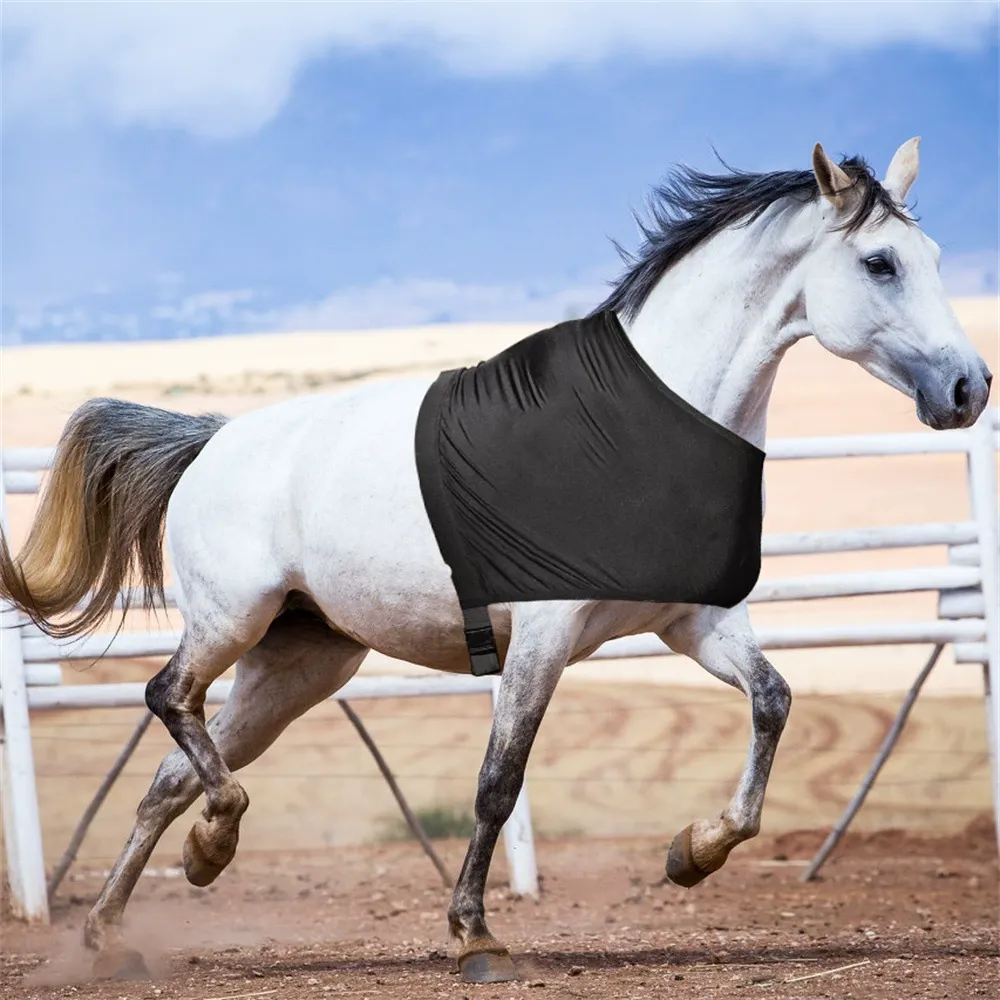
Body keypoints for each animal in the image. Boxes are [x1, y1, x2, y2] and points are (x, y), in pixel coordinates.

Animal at [0, 139, 991, 984]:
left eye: (937, 255)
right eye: (881, 264)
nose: (969, 388)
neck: (638, 430)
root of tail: (211, 442)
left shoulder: (692, 624)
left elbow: (774, 703)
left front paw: (694, 852)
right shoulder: (542, 638)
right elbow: (497, 782)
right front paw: (475, 934)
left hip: (300, 663)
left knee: (171, 778)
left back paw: (122, 923)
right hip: (230, 623)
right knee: (167, 700)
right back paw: (210, 849)